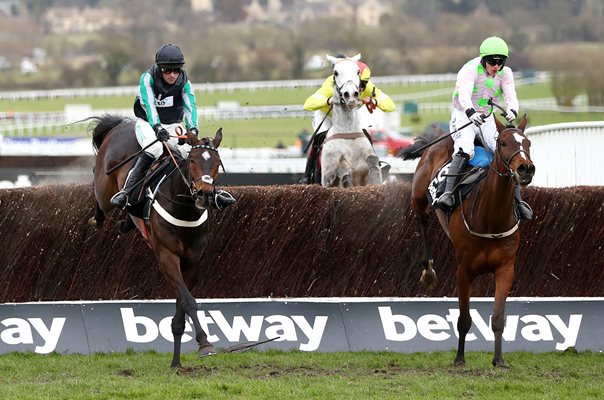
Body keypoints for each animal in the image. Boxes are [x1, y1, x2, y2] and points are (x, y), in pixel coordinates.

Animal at [88, 114, 223, 368]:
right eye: (192, 160)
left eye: (217, 162)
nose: (204, 194)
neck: (184, 209)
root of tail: (122, 123)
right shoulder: (167, 256)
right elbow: (189, 301)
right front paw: (204, 342)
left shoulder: (192, 262)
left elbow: (182, 306)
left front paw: (177, 361)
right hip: (104, 187)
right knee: (101, 196)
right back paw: (100, 216)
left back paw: (126, 223)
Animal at [320, 53, 382, 189]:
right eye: (336, 72)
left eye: (357, 71)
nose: (351, 94)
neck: (347, 130)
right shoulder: (327, 175)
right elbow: (339, 172)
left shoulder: (367, 165)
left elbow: (373, 164)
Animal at [402, 115, 532, 366]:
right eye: (503, 143)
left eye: (528, 143)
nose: (526, 168)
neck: (491, 218)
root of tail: (439, 138)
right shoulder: (464, 270)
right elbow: (463, 318)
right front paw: (459, 358)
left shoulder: (505, 269)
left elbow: (498, 318)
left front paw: (499, 360)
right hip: (418, 195)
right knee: (422, 219)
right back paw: (428, 272)